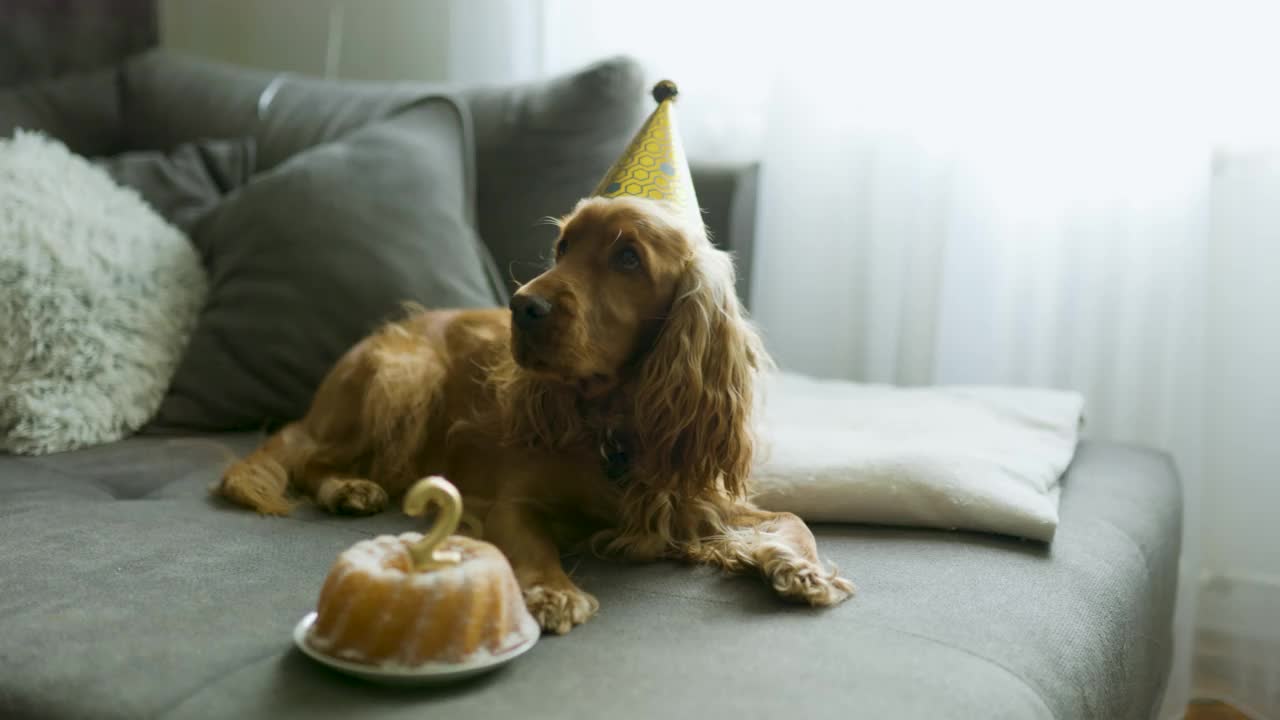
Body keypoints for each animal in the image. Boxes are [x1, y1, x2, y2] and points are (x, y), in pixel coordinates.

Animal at [218, 193, 855, 630]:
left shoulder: (700, 498)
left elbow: (792, 521)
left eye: (628, 258)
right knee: (310, 459)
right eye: (563, 247)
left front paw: (802, 569)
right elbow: (532, 540)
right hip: (405, 375)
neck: (615, 424)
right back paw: (348, 487)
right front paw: (555, 591)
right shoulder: (510, 501)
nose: (521, 307)